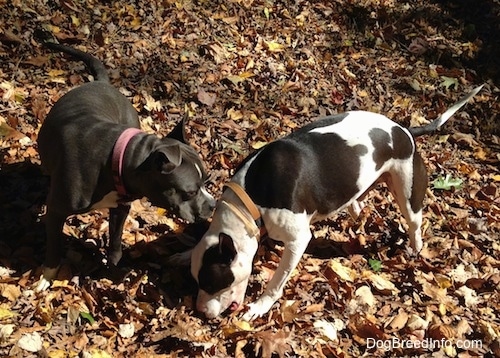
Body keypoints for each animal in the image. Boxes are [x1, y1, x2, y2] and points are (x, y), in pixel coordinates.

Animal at [35, 39, 215, 290]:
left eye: (207, 181)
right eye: (189, 192)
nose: (213, 204)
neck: (118, 159)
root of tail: (101, 83)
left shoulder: (121, 208)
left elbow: (116, 244)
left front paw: (113, 271)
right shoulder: (55, 211)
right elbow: (53, 248)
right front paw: (47, 276)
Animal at [189, 85, 482, 320]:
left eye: (212, 282)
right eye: (196, 280)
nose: (199, 312)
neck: (249, 201)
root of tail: (403, 129)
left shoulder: (297, 241)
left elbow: (276, 281)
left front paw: (260, 306)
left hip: (408, 191)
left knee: (414, 223)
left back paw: (415, 247)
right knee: (358, 203)